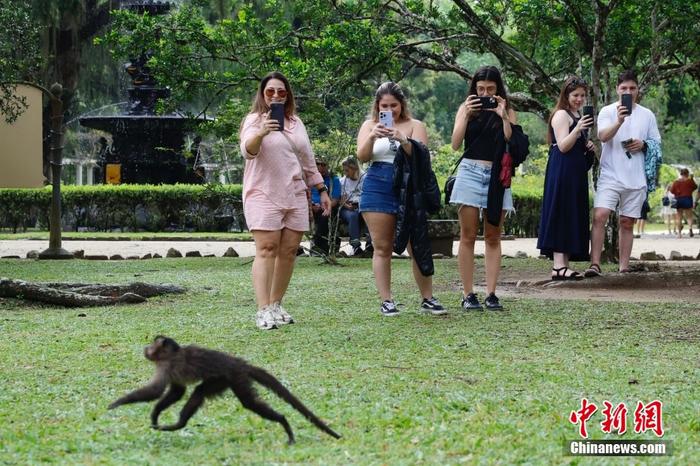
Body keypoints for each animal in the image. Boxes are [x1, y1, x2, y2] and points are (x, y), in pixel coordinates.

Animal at [106, 336, 342, 442]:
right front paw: (155, 415)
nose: (146, 349)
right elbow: (176, 392)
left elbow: (155, 391)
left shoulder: (166, 366)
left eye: (152, 346)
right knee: (200, 392)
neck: (170, 355)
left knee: (248, 402)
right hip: (222, 379)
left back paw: (283, 421)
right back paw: (179, 425)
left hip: (235, 377)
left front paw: (118, 403)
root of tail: (240, 364)